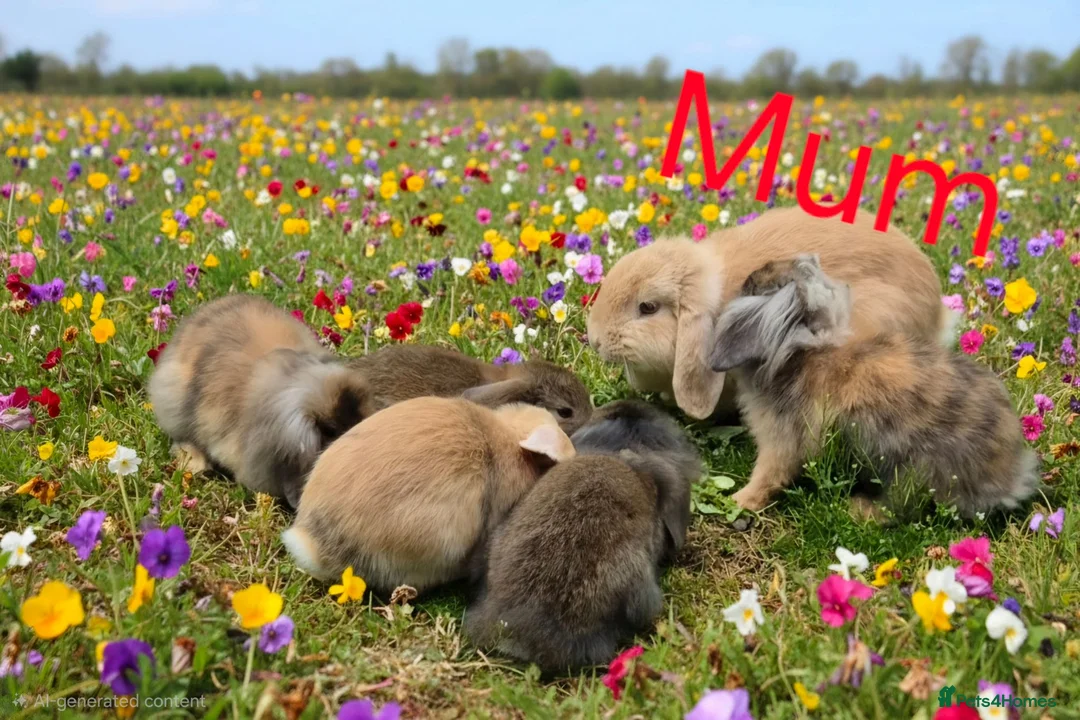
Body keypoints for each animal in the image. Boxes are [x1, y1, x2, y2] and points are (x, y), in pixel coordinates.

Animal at [709, 254, 1038, 516]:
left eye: (754, 286)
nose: (746, 279)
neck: (798, 355)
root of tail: (1009, 477)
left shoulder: (780, 439)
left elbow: (769, 474)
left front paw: (739, 500)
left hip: (909, 471)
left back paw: (859, 509)